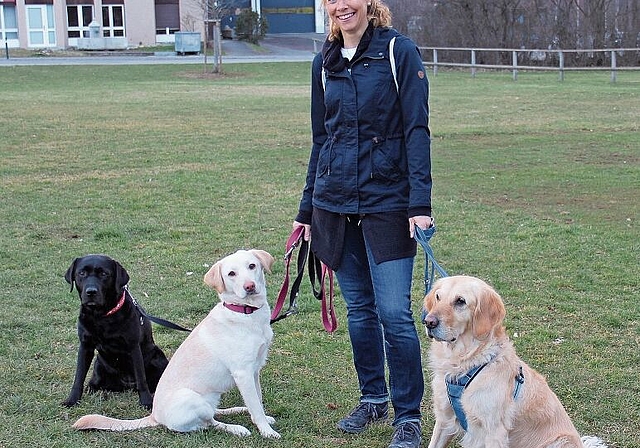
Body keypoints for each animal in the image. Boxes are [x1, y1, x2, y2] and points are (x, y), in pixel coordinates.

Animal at [60, 254, 168, 408]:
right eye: (82, 273)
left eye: (104, 274)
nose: (91, 291)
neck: (101, 316)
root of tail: (127, 385)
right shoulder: (85, 346)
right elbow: (79, 377)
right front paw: (72, 400)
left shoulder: (133, 347)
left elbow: (141, 379)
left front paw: (146, 401)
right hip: (99, 365)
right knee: (93, 385)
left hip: (158, 358)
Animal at [72, 250, 280, 440]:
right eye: (231, 274)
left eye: (252, 266)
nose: (250, 286)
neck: (245, 313)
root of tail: (154, 416)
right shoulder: (243, 373)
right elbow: (255, 405)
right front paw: (266, 431)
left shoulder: (254, 370)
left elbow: (258, 401)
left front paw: (262, 420)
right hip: (191, 398)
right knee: (209, 422)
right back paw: (237, 428)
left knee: (213, 413)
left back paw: (238, 409)